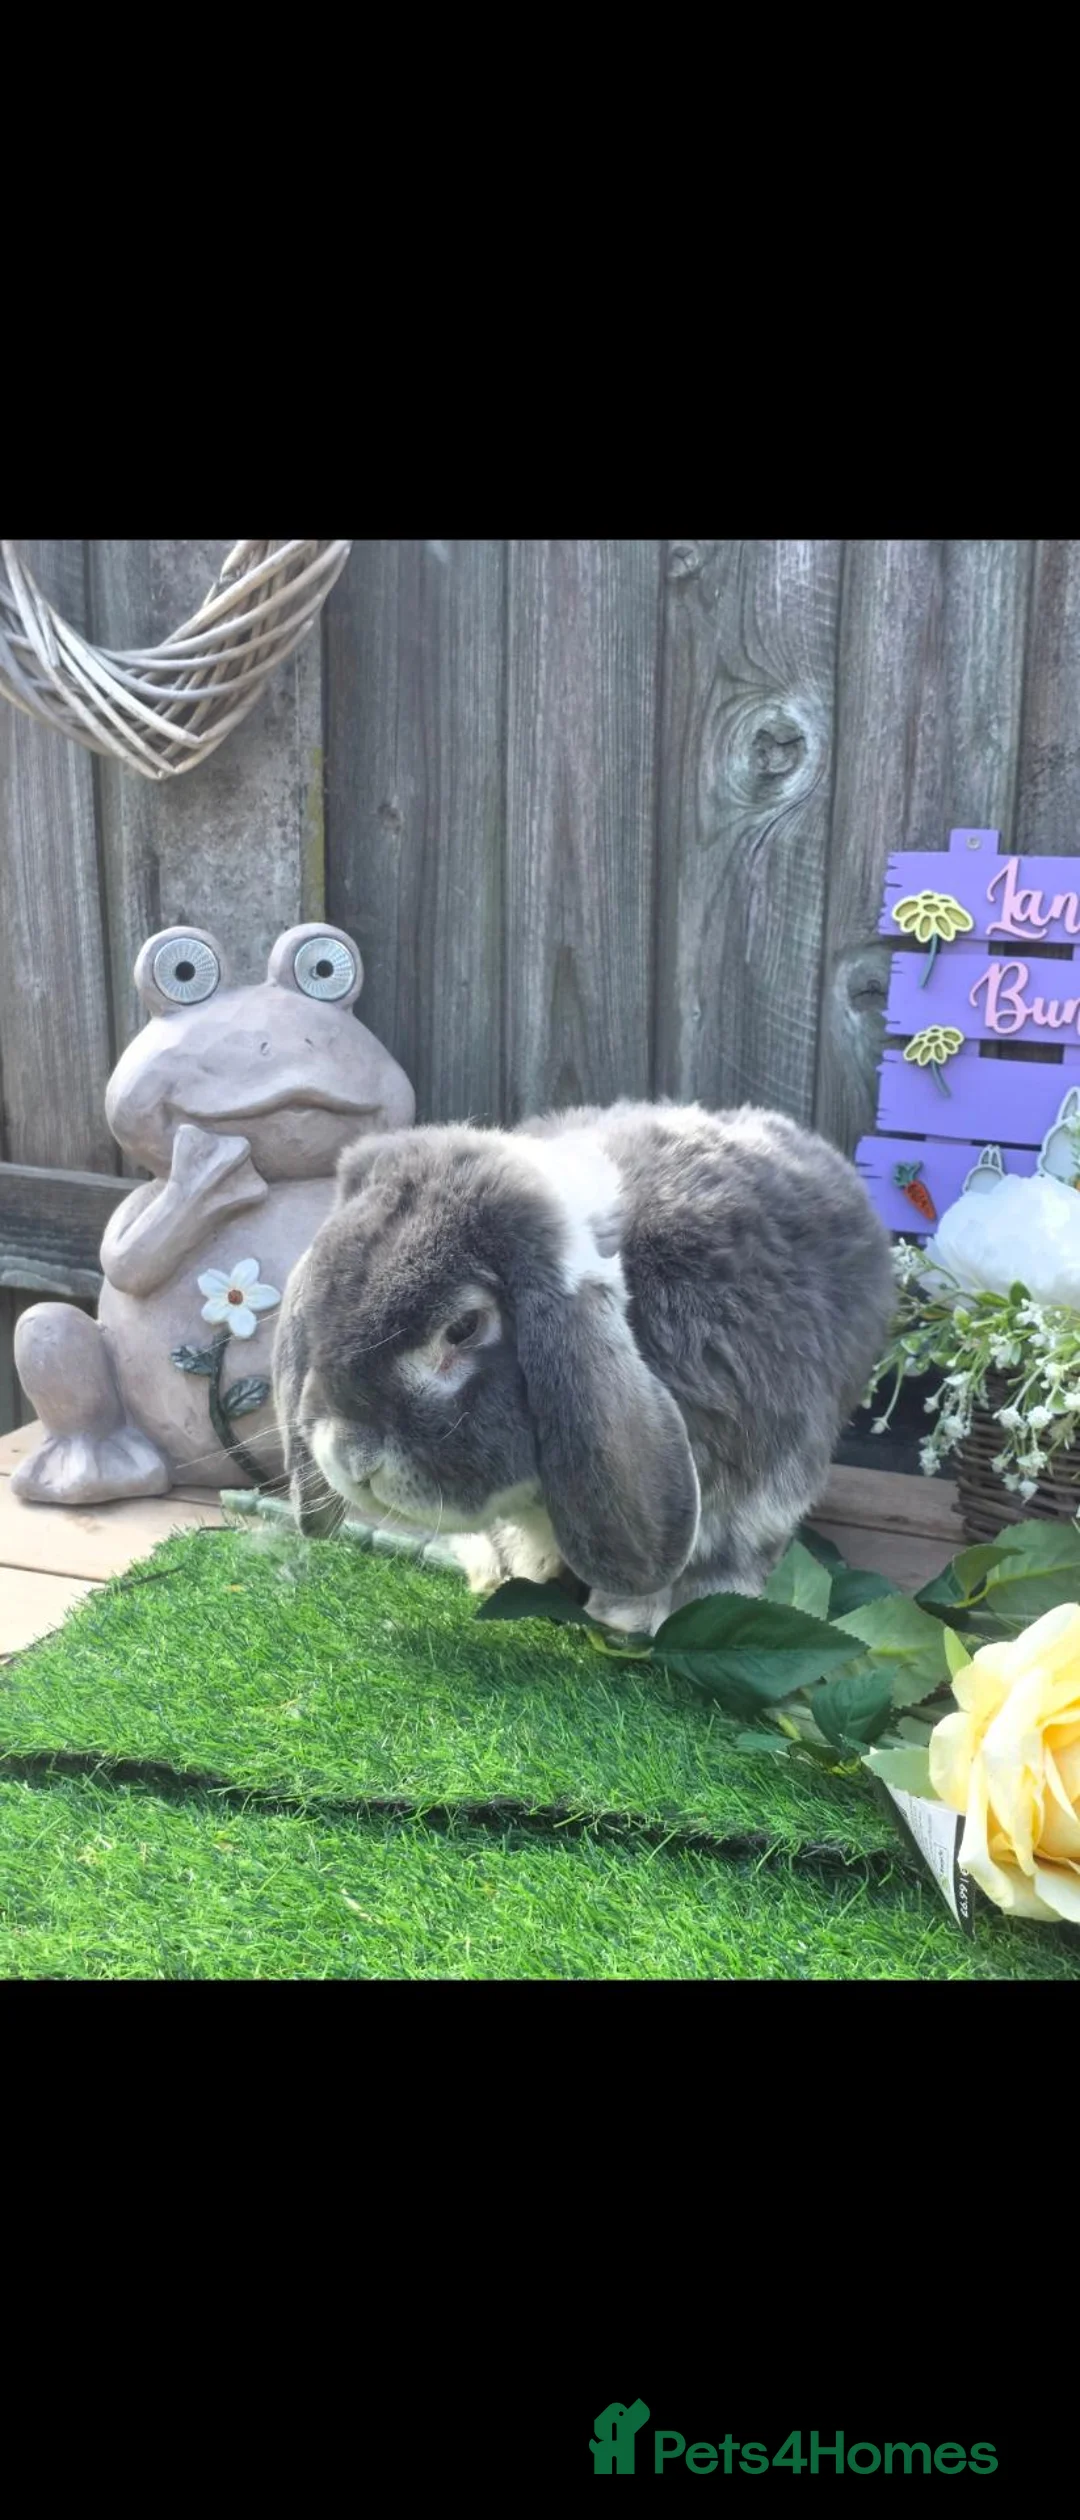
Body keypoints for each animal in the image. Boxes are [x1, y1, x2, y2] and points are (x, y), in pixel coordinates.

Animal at [272, 1100, 896, 1633]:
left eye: (463, 1328)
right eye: (317, 1304)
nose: (350, 1459)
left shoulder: (756, 1481)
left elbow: (723, 1555)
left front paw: (629, 1619)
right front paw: (520, 1573)